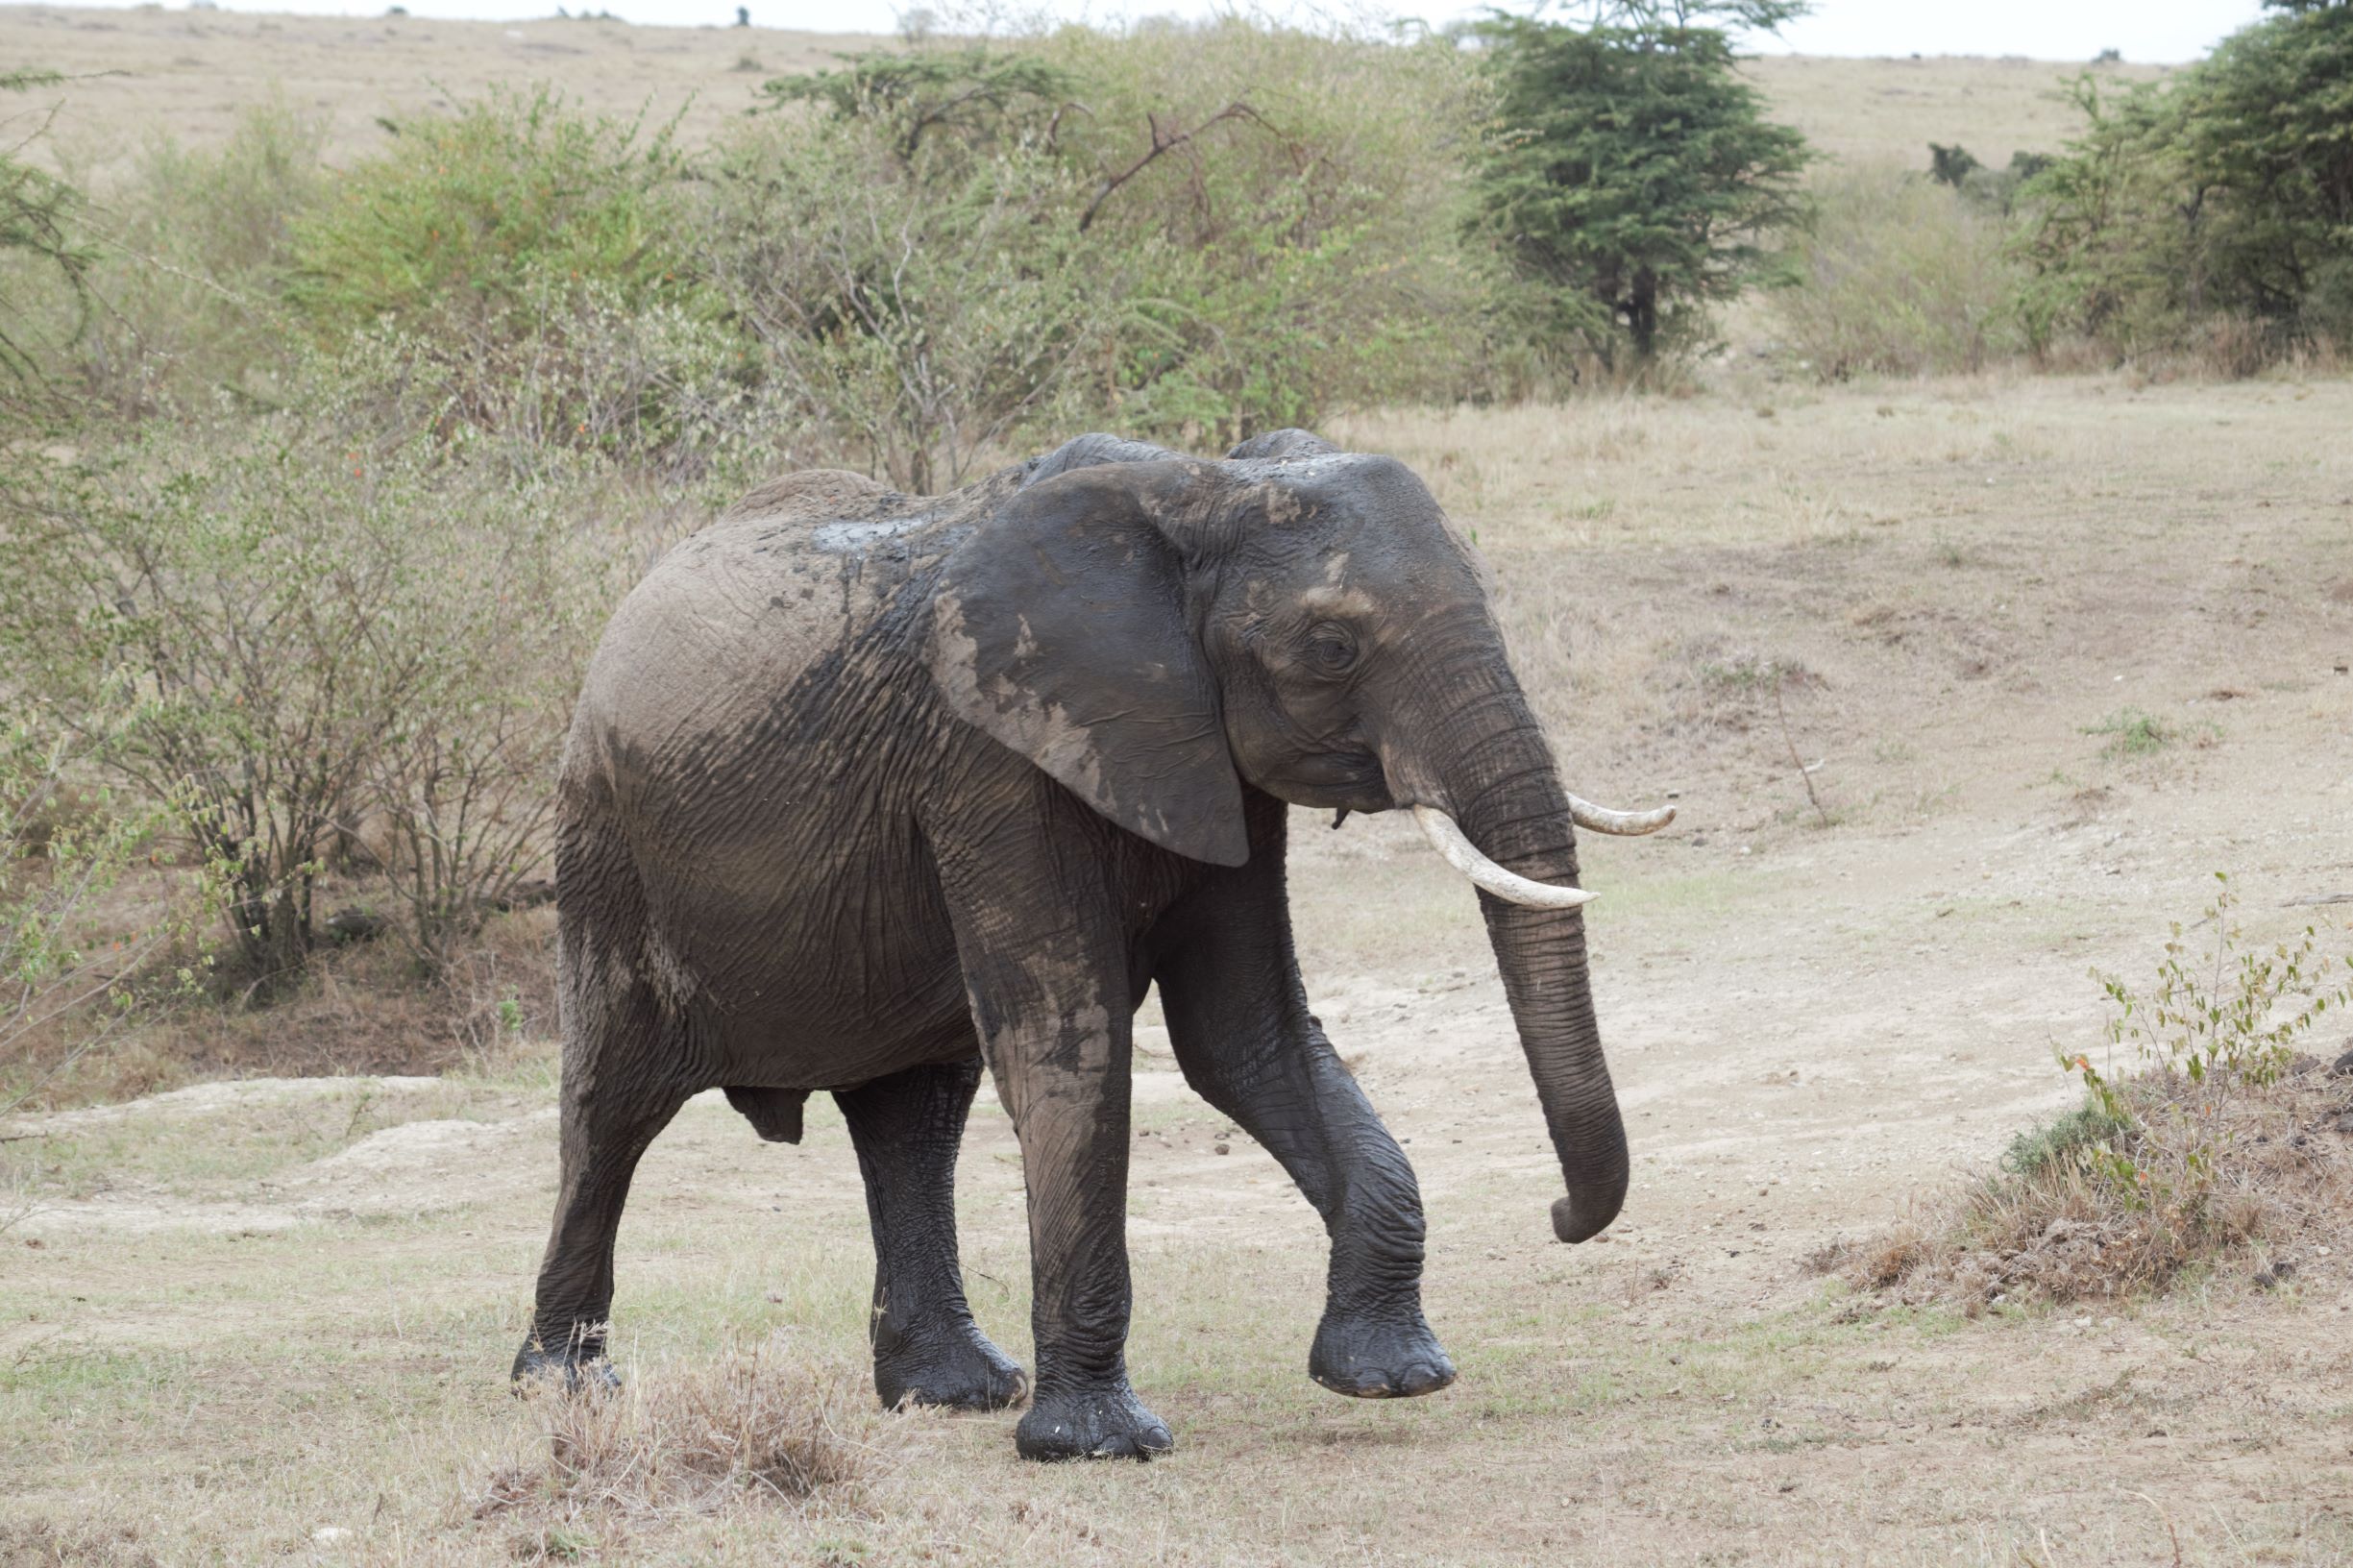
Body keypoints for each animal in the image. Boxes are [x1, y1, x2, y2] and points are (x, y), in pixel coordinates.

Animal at [510, 424, 1675, 1450]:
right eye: (1332, 645)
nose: (1560, 1214)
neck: (1199, 491)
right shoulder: (988, 758)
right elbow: (1067, 1047)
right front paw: (1099, 1445)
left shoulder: (1207, 765)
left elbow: (1244, 1037)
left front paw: (1392, 1377)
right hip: (607, 848)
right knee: (612, 1107)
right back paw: (564, 1389)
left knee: (913, 1115)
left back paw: (949, 1394)